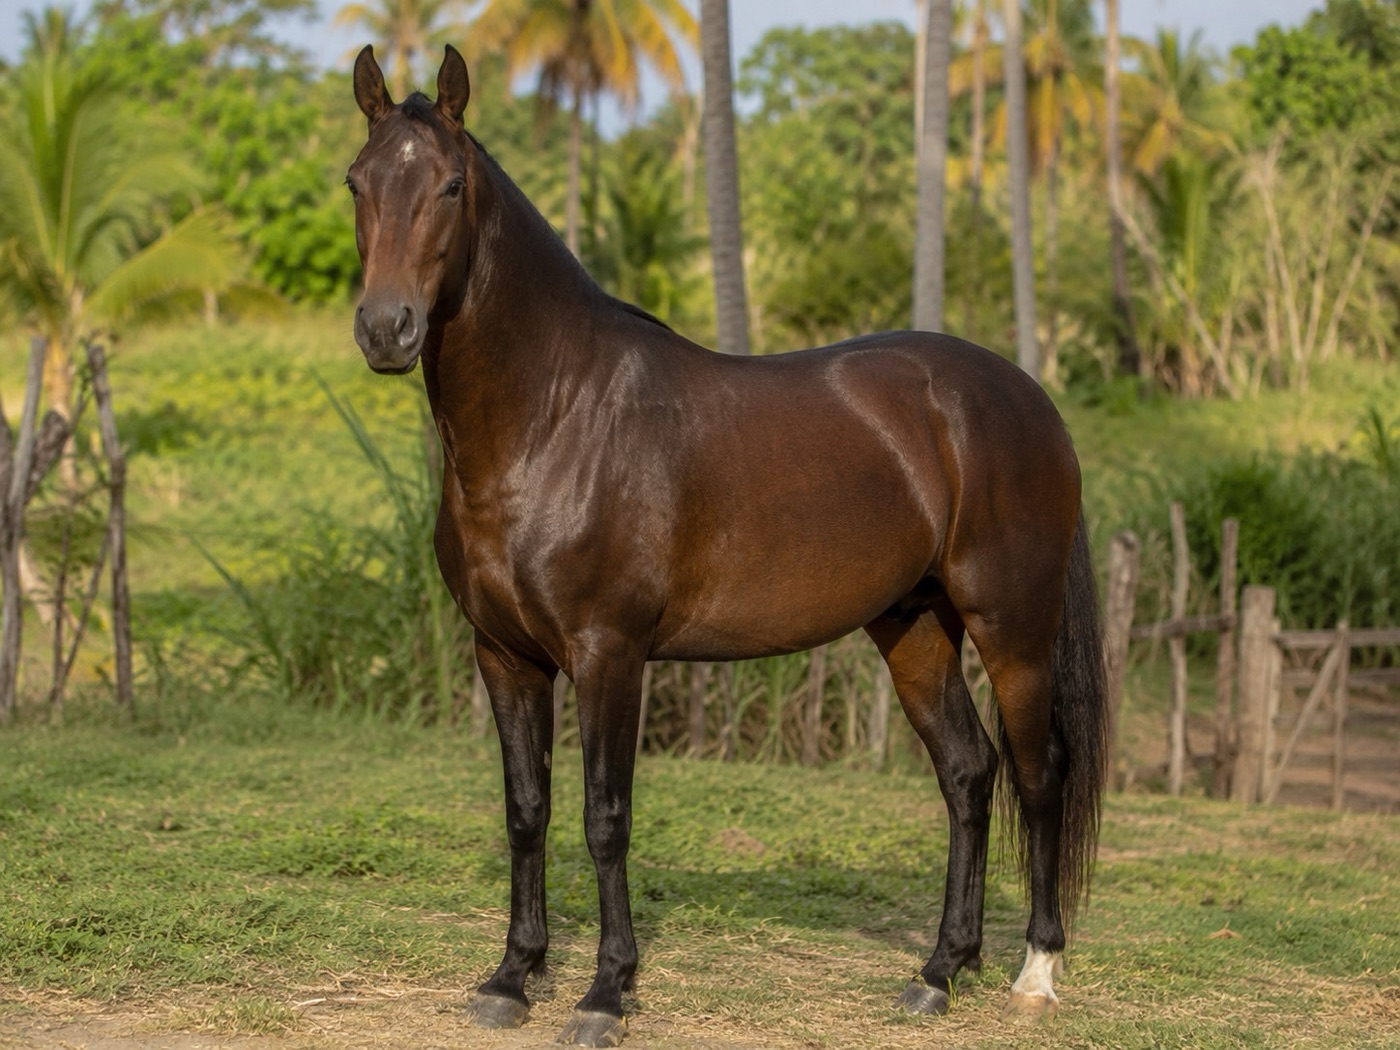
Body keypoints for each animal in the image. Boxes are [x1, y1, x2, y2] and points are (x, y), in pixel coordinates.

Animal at [346, 43, 1108, 1048]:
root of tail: (1029, 399)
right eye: (357, 182)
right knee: (968, 775)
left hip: (1011, 628)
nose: (384, 329)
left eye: (451, 184)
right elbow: (526, 811)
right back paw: (941, 971)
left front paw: (605, 991)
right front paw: (513, 977)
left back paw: (1035, 972)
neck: (553, 415)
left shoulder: (609, 654)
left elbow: (604, 816)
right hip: (914, 629)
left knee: (1037, 774)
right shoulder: (503, 655)